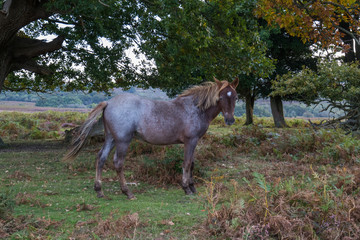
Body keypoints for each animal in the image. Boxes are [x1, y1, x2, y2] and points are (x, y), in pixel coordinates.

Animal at [64, 77, 239, 199]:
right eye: (221, 97)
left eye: (235, 97)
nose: (230, 120)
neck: (195, 109)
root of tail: (109, 102)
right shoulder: (190, 141)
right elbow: (187, 163)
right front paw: (186, 188)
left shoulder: (194, 142)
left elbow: (192, 164)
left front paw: (193, 187)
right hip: (123, 141)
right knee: (118, 163)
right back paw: (128, 192)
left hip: (110, 139)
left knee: (101, 158)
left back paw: (99, 191)